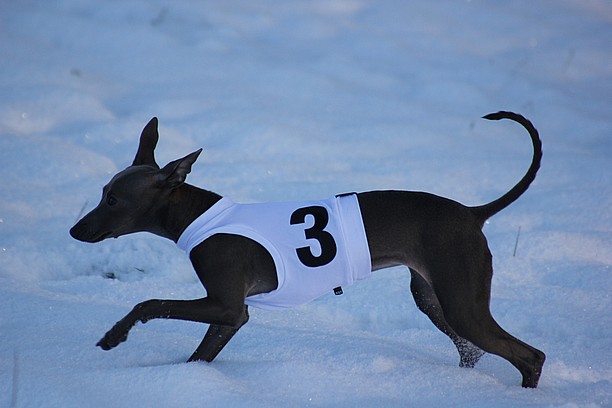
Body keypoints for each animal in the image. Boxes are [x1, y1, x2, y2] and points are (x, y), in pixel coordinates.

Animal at [70, 112, 544, 388]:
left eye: (113, 199)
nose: (75, 230)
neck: (200, 216)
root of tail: (472, 213)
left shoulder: (225, 305)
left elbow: (149, 302)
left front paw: (114, 336)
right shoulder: (231, 317)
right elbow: (200, 355)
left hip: (463, 304)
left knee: (530, 356)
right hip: (434, 300)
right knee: (474, 350)